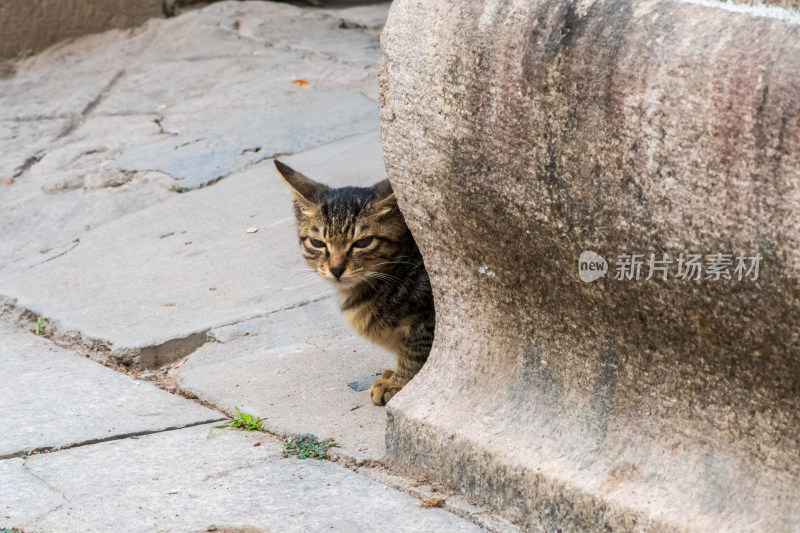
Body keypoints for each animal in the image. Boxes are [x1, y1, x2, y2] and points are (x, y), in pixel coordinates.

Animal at [276, 160, 438, 406]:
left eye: (363, 242)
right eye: (317, 243)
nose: (336, 269)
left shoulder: (429, 316)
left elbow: (418, 350)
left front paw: (400, 383)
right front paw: (395, 378)